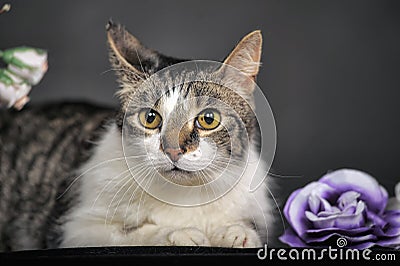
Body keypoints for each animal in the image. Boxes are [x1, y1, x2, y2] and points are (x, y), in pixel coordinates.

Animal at [0, 21, 276, 251]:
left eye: (208, 119)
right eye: (150, 118)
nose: (173, 149)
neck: (184, 195)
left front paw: (235, 232)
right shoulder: (74, 229)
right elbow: (130, 234)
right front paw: (179, 234)